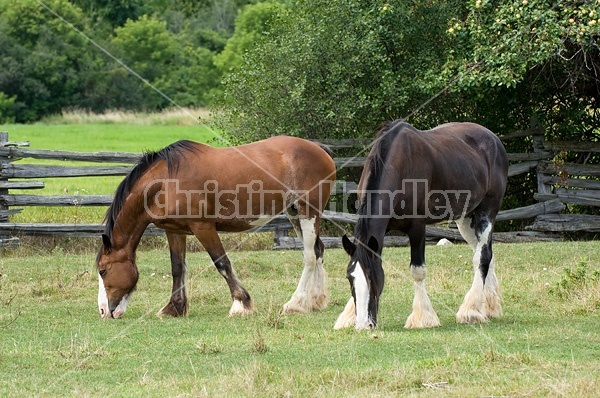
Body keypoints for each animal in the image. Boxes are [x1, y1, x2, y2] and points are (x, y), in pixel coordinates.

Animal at [96, 137, 336, 320]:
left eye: (103, 270)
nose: (104, 311)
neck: (165, 182)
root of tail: (319, 149)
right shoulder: (175, 230)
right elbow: (177, 268)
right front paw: (174, 308)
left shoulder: (203, 227)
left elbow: (222, 263)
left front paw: (241, 303)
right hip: (295, 213)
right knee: (318, 251)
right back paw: (315, 301)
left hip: (308, 212)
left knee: (309, 256)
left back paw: (295, 303)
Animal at [336, 120, 508, 330]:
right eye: (349, 278)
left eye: (373, 277)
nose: (363, 324)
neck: (398, 166)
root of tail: (494, 139)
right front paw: (348, 315)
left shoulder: (417, 228)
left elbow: (418, 271)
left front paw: (423, 317)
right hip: (466, 218)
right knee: (485, 253)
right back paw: (489, 306)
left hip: (487, 211)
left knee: (482, 257)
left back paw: (472, 310)